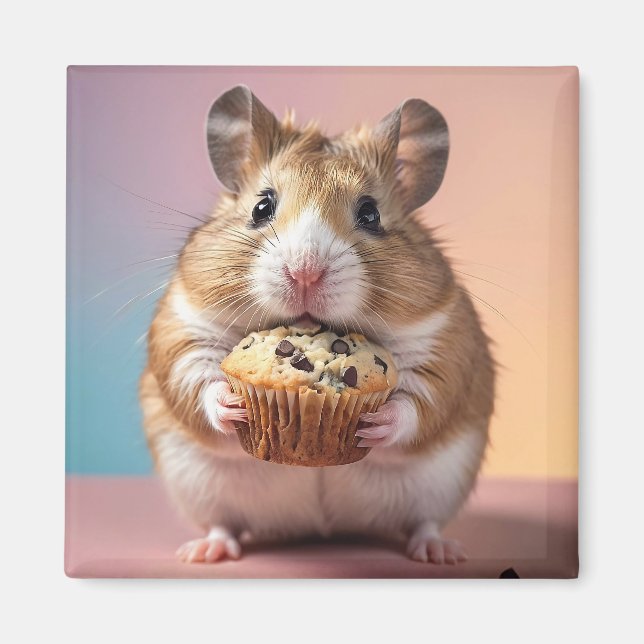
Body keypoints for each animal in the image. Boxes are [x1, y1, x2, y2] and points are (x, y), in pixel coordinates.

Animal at [139, 85, 495, 565]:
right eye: (262, 206)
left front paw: (374, 424)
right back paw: (202, 552)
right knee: (223, 524)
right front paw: (233, 405)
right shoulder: (183, 325)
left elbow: (417, 401)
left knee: (424, 522)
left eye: (370, 213)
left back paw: (441, 553)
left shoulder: (447, 342)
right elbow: (198, 380)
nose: (305, 273)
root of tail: (324, 529)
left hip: (439, 489)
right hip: (199, 487)